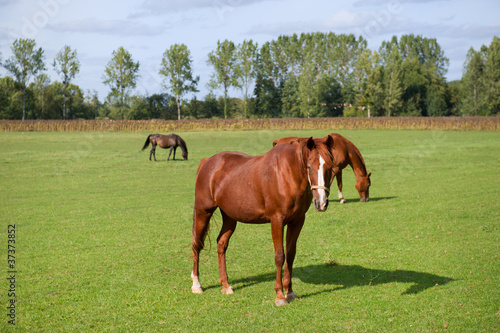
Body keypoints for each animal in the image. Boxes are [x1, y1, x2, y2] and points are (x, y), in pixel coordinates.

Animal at [191, 136, 336, 306]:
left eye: (330, 167)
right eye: (309, 166)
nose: (321, 203)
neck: (286, 174)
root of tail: (207, 162)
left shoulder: (297, 221)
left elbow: (290, 255)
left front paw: (290, 292)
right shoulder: (277, 220)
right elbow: (280, 256)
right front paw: (280, 295)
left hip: (229, 217)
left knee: (221, 244)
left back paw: (226, 285)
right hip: (203, 212)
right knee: (197, 245)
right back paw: (197, 285)